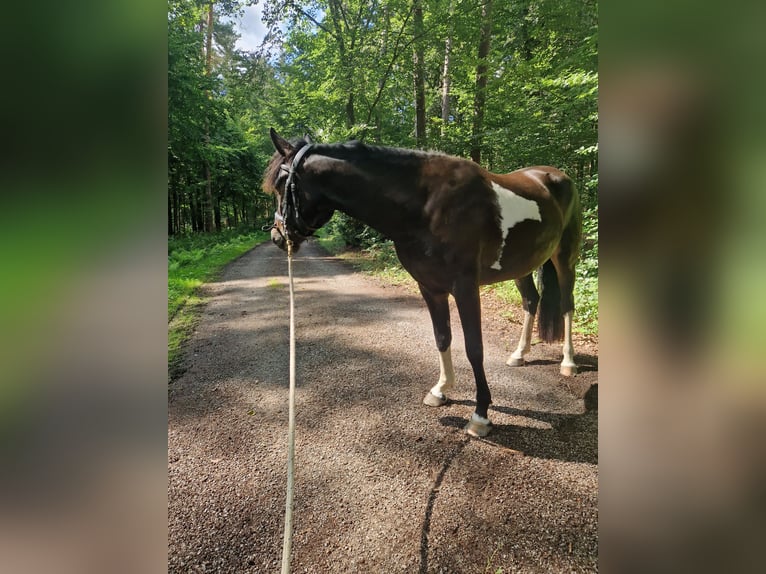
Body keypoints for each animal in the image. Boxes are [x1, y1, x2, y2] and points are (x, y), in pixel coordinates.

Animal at [264, 129, 584, 436]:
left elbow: (474, 348)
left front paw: (480, 415)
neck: (425, 207)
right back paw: (519, 354)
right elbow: (442, 337)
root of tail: (556, 175)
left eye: (281, 183)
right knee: (531, 301)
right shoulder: (430, 288)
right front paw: (440, 390)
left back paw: (568, 363)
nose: (277, 236)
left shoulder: (465, 288)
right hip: (522, 266)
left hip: (564, 258)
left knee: (567, 303)